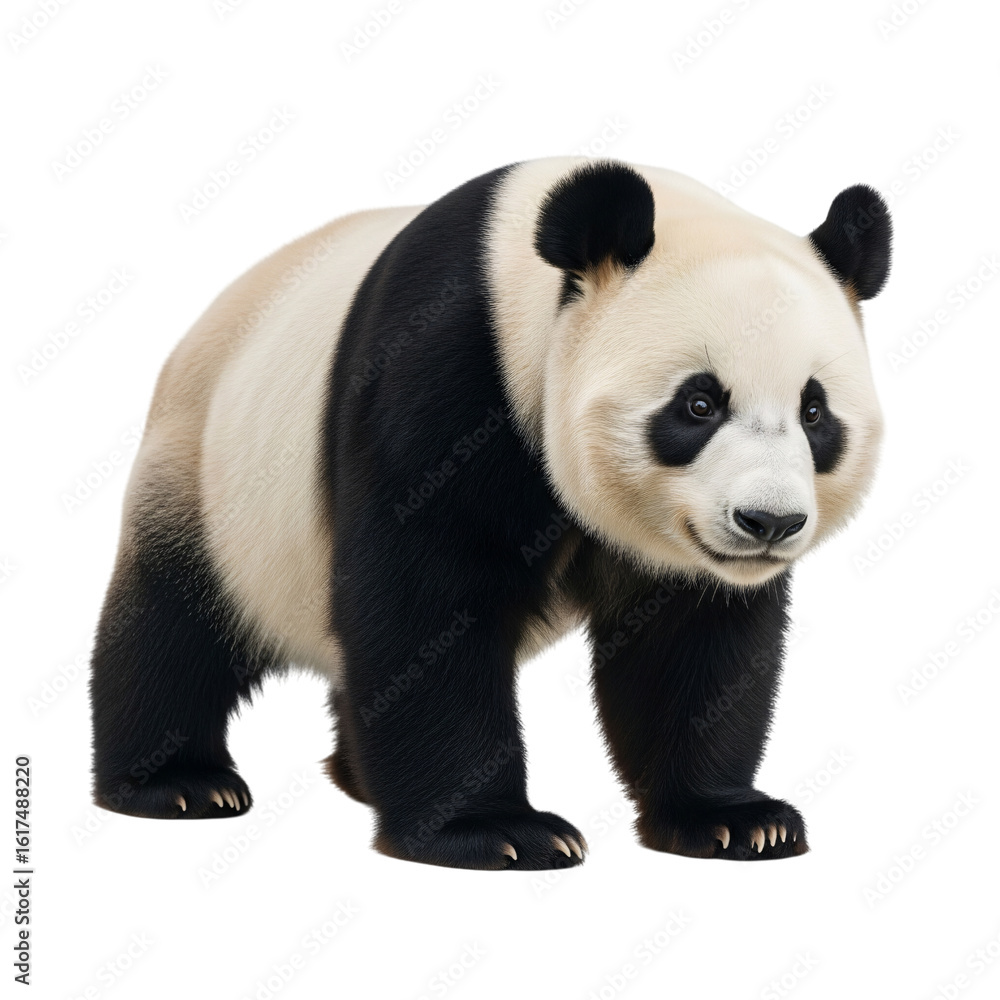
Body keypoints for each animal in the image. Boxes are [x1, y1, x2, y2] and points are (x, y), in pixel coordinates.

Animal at [89, 157, 890, 869]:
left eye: (815, 413)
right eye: (698, 403)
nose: (769, 523)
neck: (526, 294)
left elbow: (692, 640)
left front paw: (733, 820)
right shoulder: (447, 371)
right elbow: (426, 600)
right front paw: (494, 833)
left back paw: (354, 776)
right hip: (212, 476)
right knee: (174, 626)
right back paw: (178, 783)